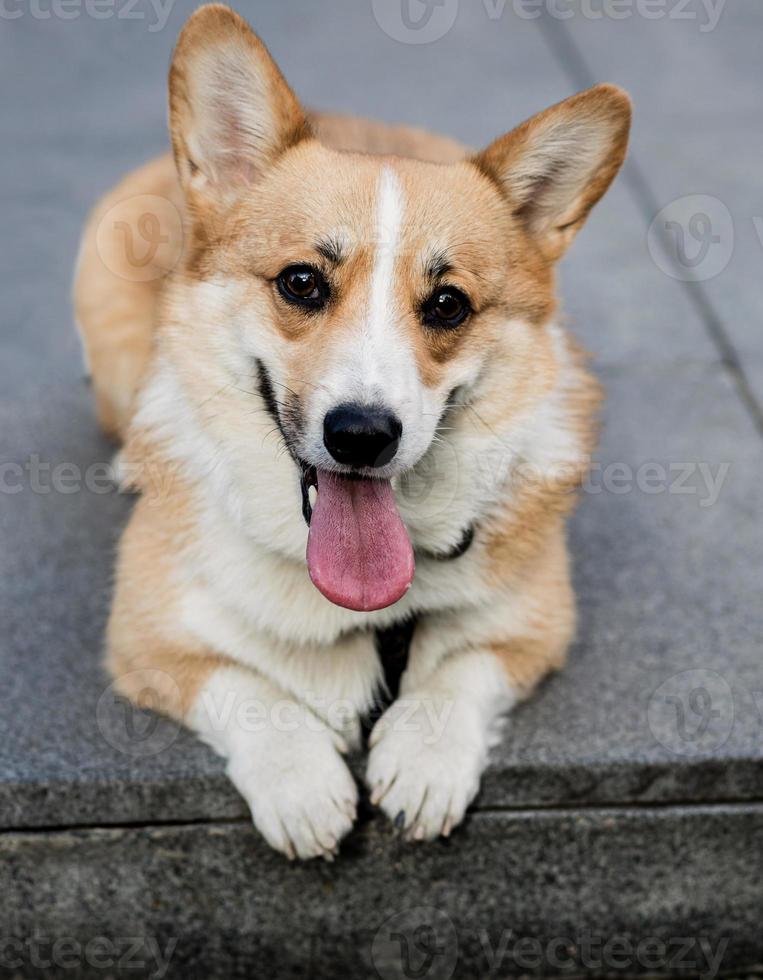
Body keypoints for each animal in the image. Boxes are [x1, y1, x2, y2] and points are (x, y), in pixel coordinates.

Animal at [73, 3, 632, 856]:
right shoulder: (148, 640)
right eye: (301, 282)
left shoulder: (533, 629)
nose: (363, 435)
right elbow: (243, 686)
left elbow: (461, 669)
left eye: (448, 305)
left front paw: (424, 761)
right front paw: (300, 784)